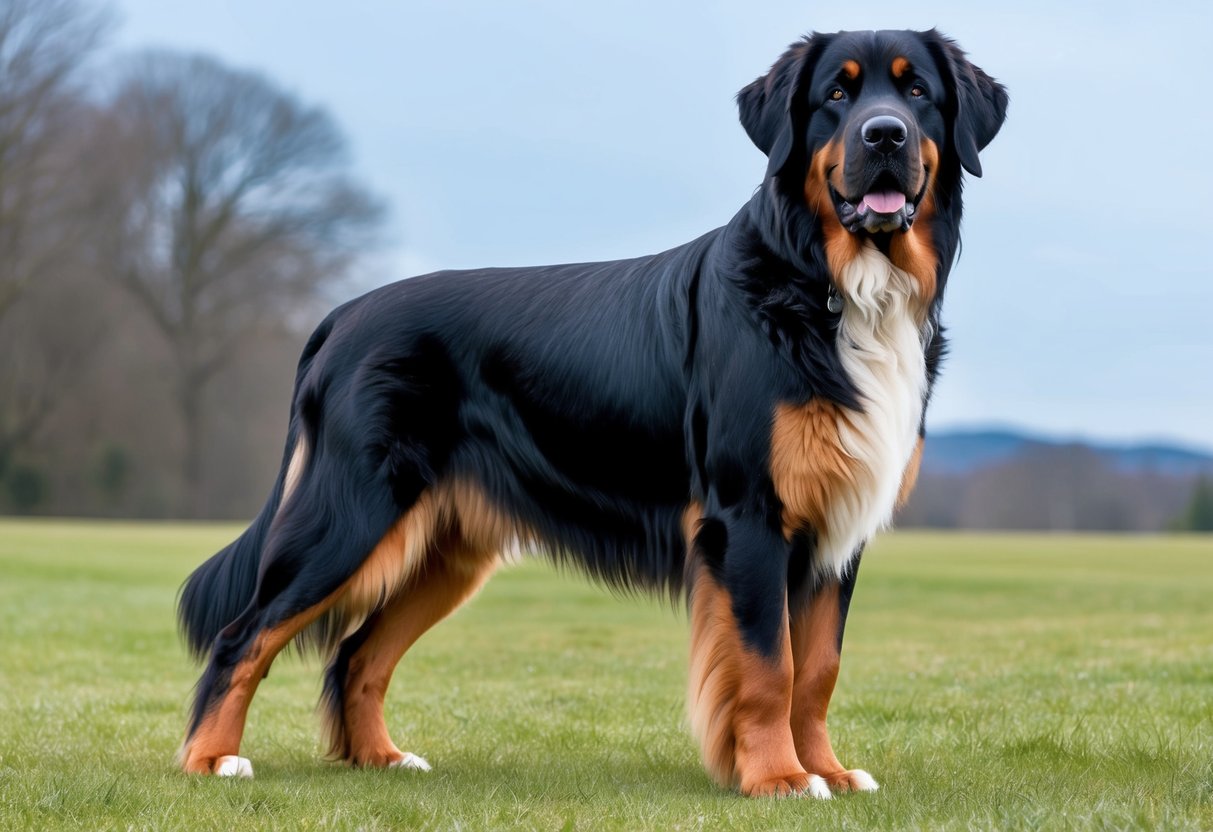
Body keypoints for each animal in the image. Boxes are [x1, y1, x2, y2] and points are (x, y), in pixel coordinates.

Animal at [177, 26, 1004, 800]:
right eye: (836, 94)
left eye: (916, 93)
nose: (884, 135)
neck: (826, 285)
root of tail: (343, 316)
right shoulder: (748, 517)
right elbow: (769, 665)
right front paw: (775, 777)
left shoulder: (834, 529)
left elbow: (818, 668)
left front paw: (824, 770)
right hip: (352, 510)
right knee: (243, 634)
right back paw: (210, 759)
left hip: (445, 547)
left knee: (357, 653)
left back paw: (380, 758)